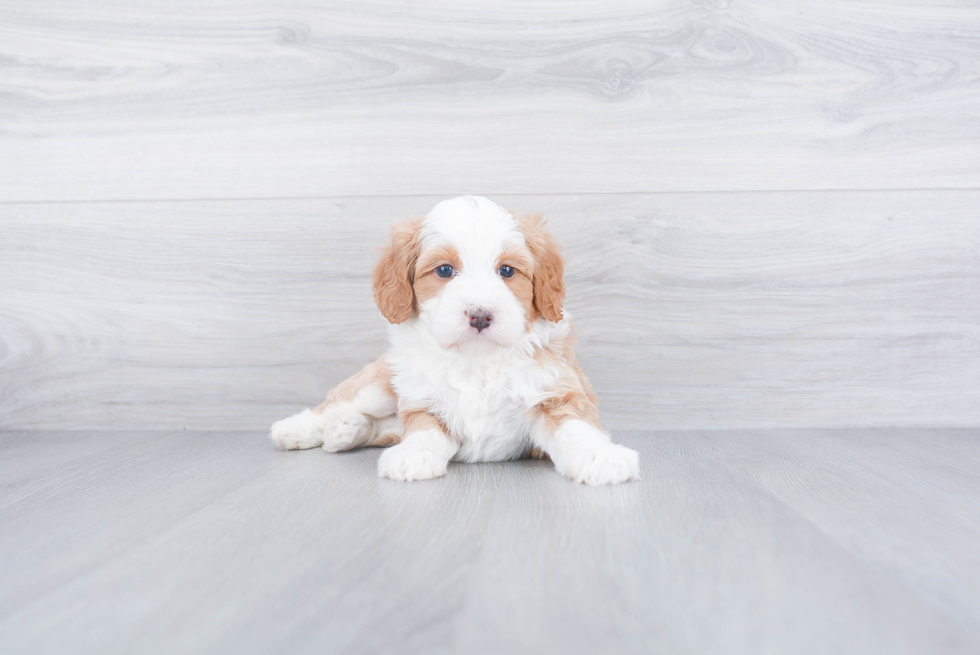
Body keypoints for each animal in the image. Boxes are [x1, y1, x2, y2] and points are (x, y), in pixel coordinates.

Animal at [268, 195, 640, 482]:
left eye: (507, 271)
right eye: (444, 270)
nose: (480, 315)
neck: (476, 360)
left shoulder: (557, 393)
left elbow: (576, 427)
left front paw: (600, 457)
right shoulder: (423, 400)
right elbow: (423, 430)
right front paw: (413, 455)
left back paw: (345, 432)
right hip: (384, 381)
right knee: (341, 402)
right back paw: (298, 429)